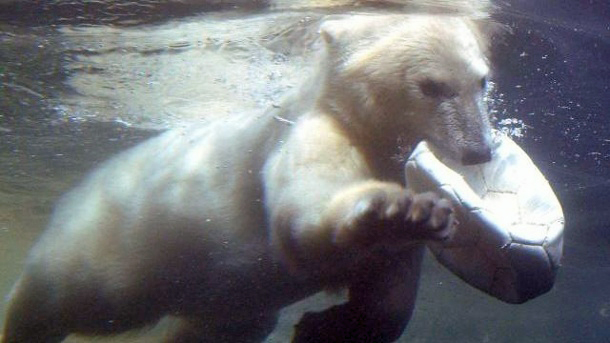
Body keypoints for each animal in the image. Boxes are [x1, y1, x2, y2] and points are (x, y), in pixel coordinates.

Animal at [2, 13, 492, 343]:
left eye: (482, 81)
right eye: (431, 85)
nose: (479, 149)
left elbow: (390, 290)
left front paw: (323, 326)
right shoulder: (311, 131)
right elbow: (304, 216)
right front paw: (398, 211)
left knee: (219, 326)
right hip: (131, 245)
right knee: (67, 293)